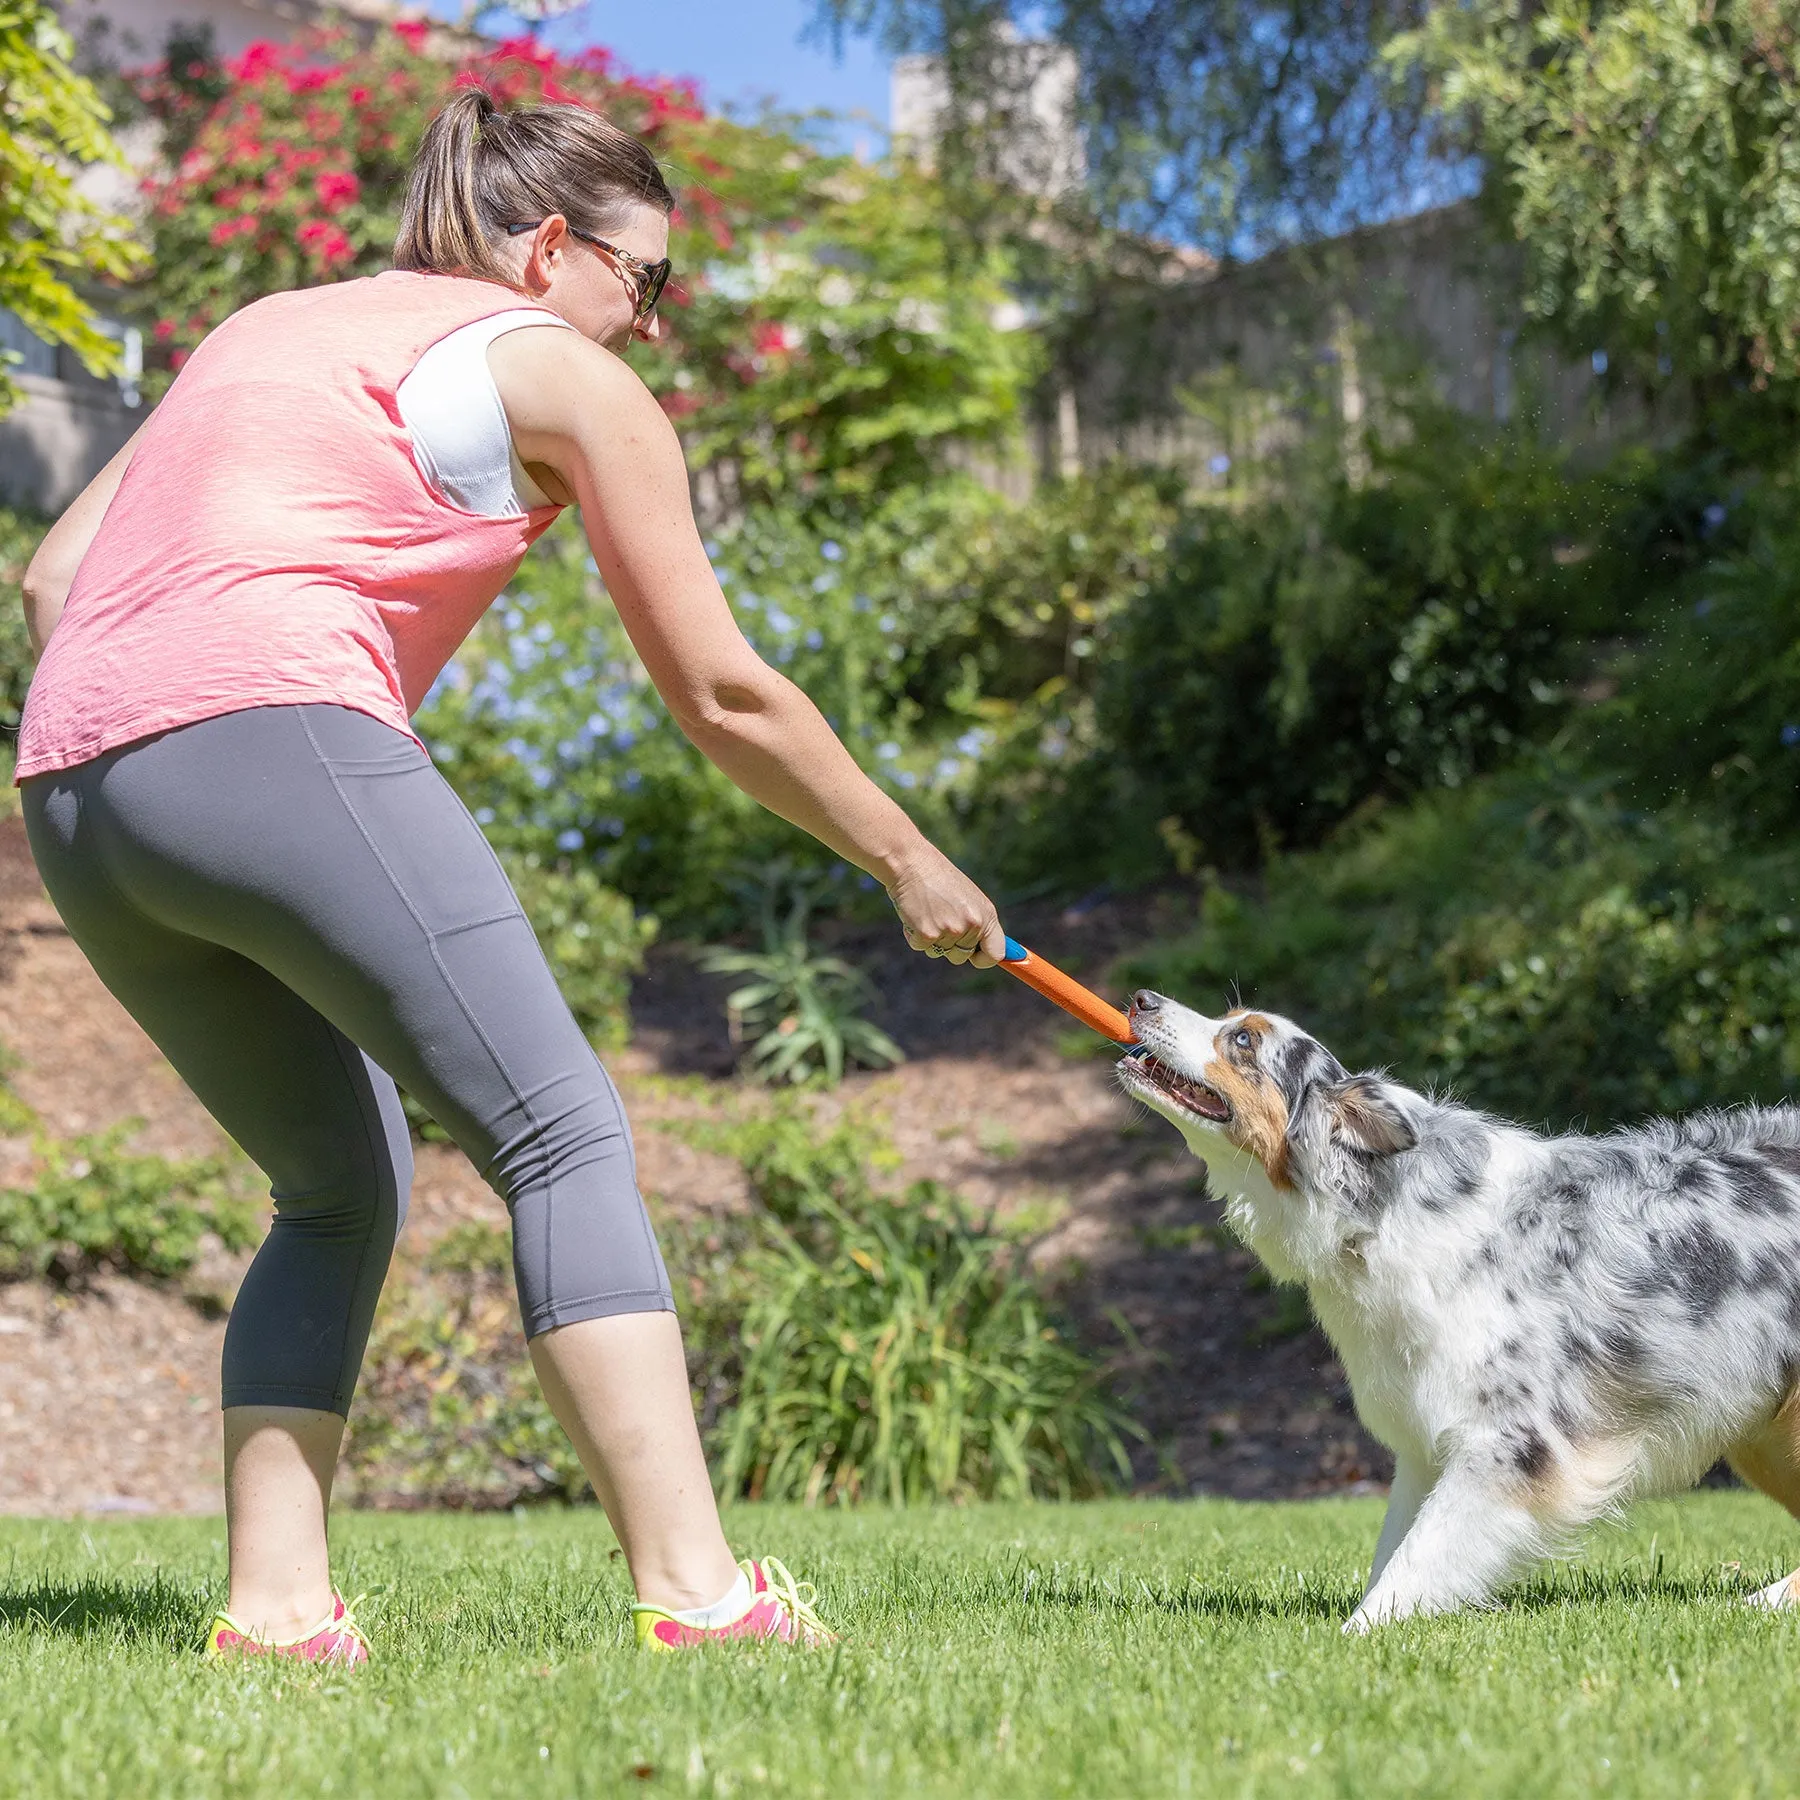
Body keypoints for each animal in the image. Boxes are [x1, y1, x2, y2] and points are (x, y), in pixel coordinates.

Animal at [1116, 993, 1800, 1641]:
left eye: (1243, 1040)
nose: (1141, 999)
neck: (1381, 1211)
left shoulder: (1511, 1443)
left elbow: (1419, 1556)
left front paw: (1351, 1637)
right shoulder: (1424, 1442)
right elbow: (1397, 1546)